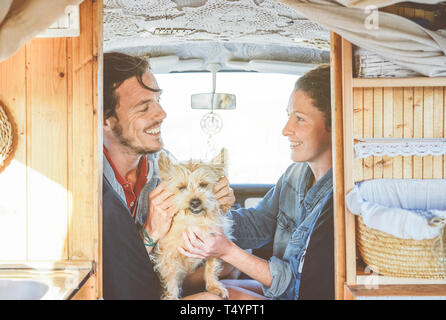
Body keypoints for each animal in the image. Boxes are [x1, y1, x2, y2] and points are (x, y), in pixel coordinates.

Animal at [152, 149, 233, 298]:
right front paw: (172, 297)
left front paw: (214, 286)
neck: (193, 220)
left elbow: (211, 267)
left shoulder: (214, 245)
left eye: (203, 185)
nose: (195, 202)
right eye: (182, 187)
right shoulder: (168, 256)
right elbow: (171, 281)